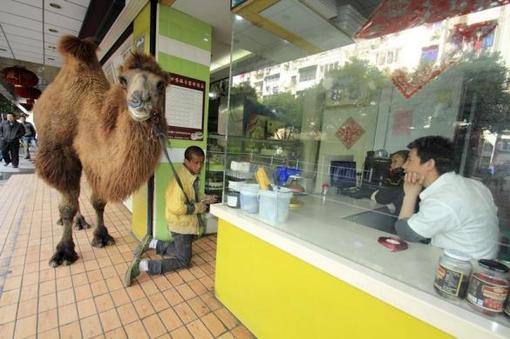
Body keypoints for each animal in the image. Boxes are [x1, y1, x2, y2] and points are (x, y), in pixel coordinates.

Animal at [34, 35, 169, 266]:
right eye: (123, 80)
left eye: (161, 84)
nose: (139, 100)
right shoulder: (62, 154)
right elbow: (68, 204)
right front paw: (63, 251)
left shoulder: (94, 163)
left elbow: (98, 201)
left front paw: (101, 236)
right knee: (67, 194)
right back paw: (66, 221)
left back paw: (80, 222)